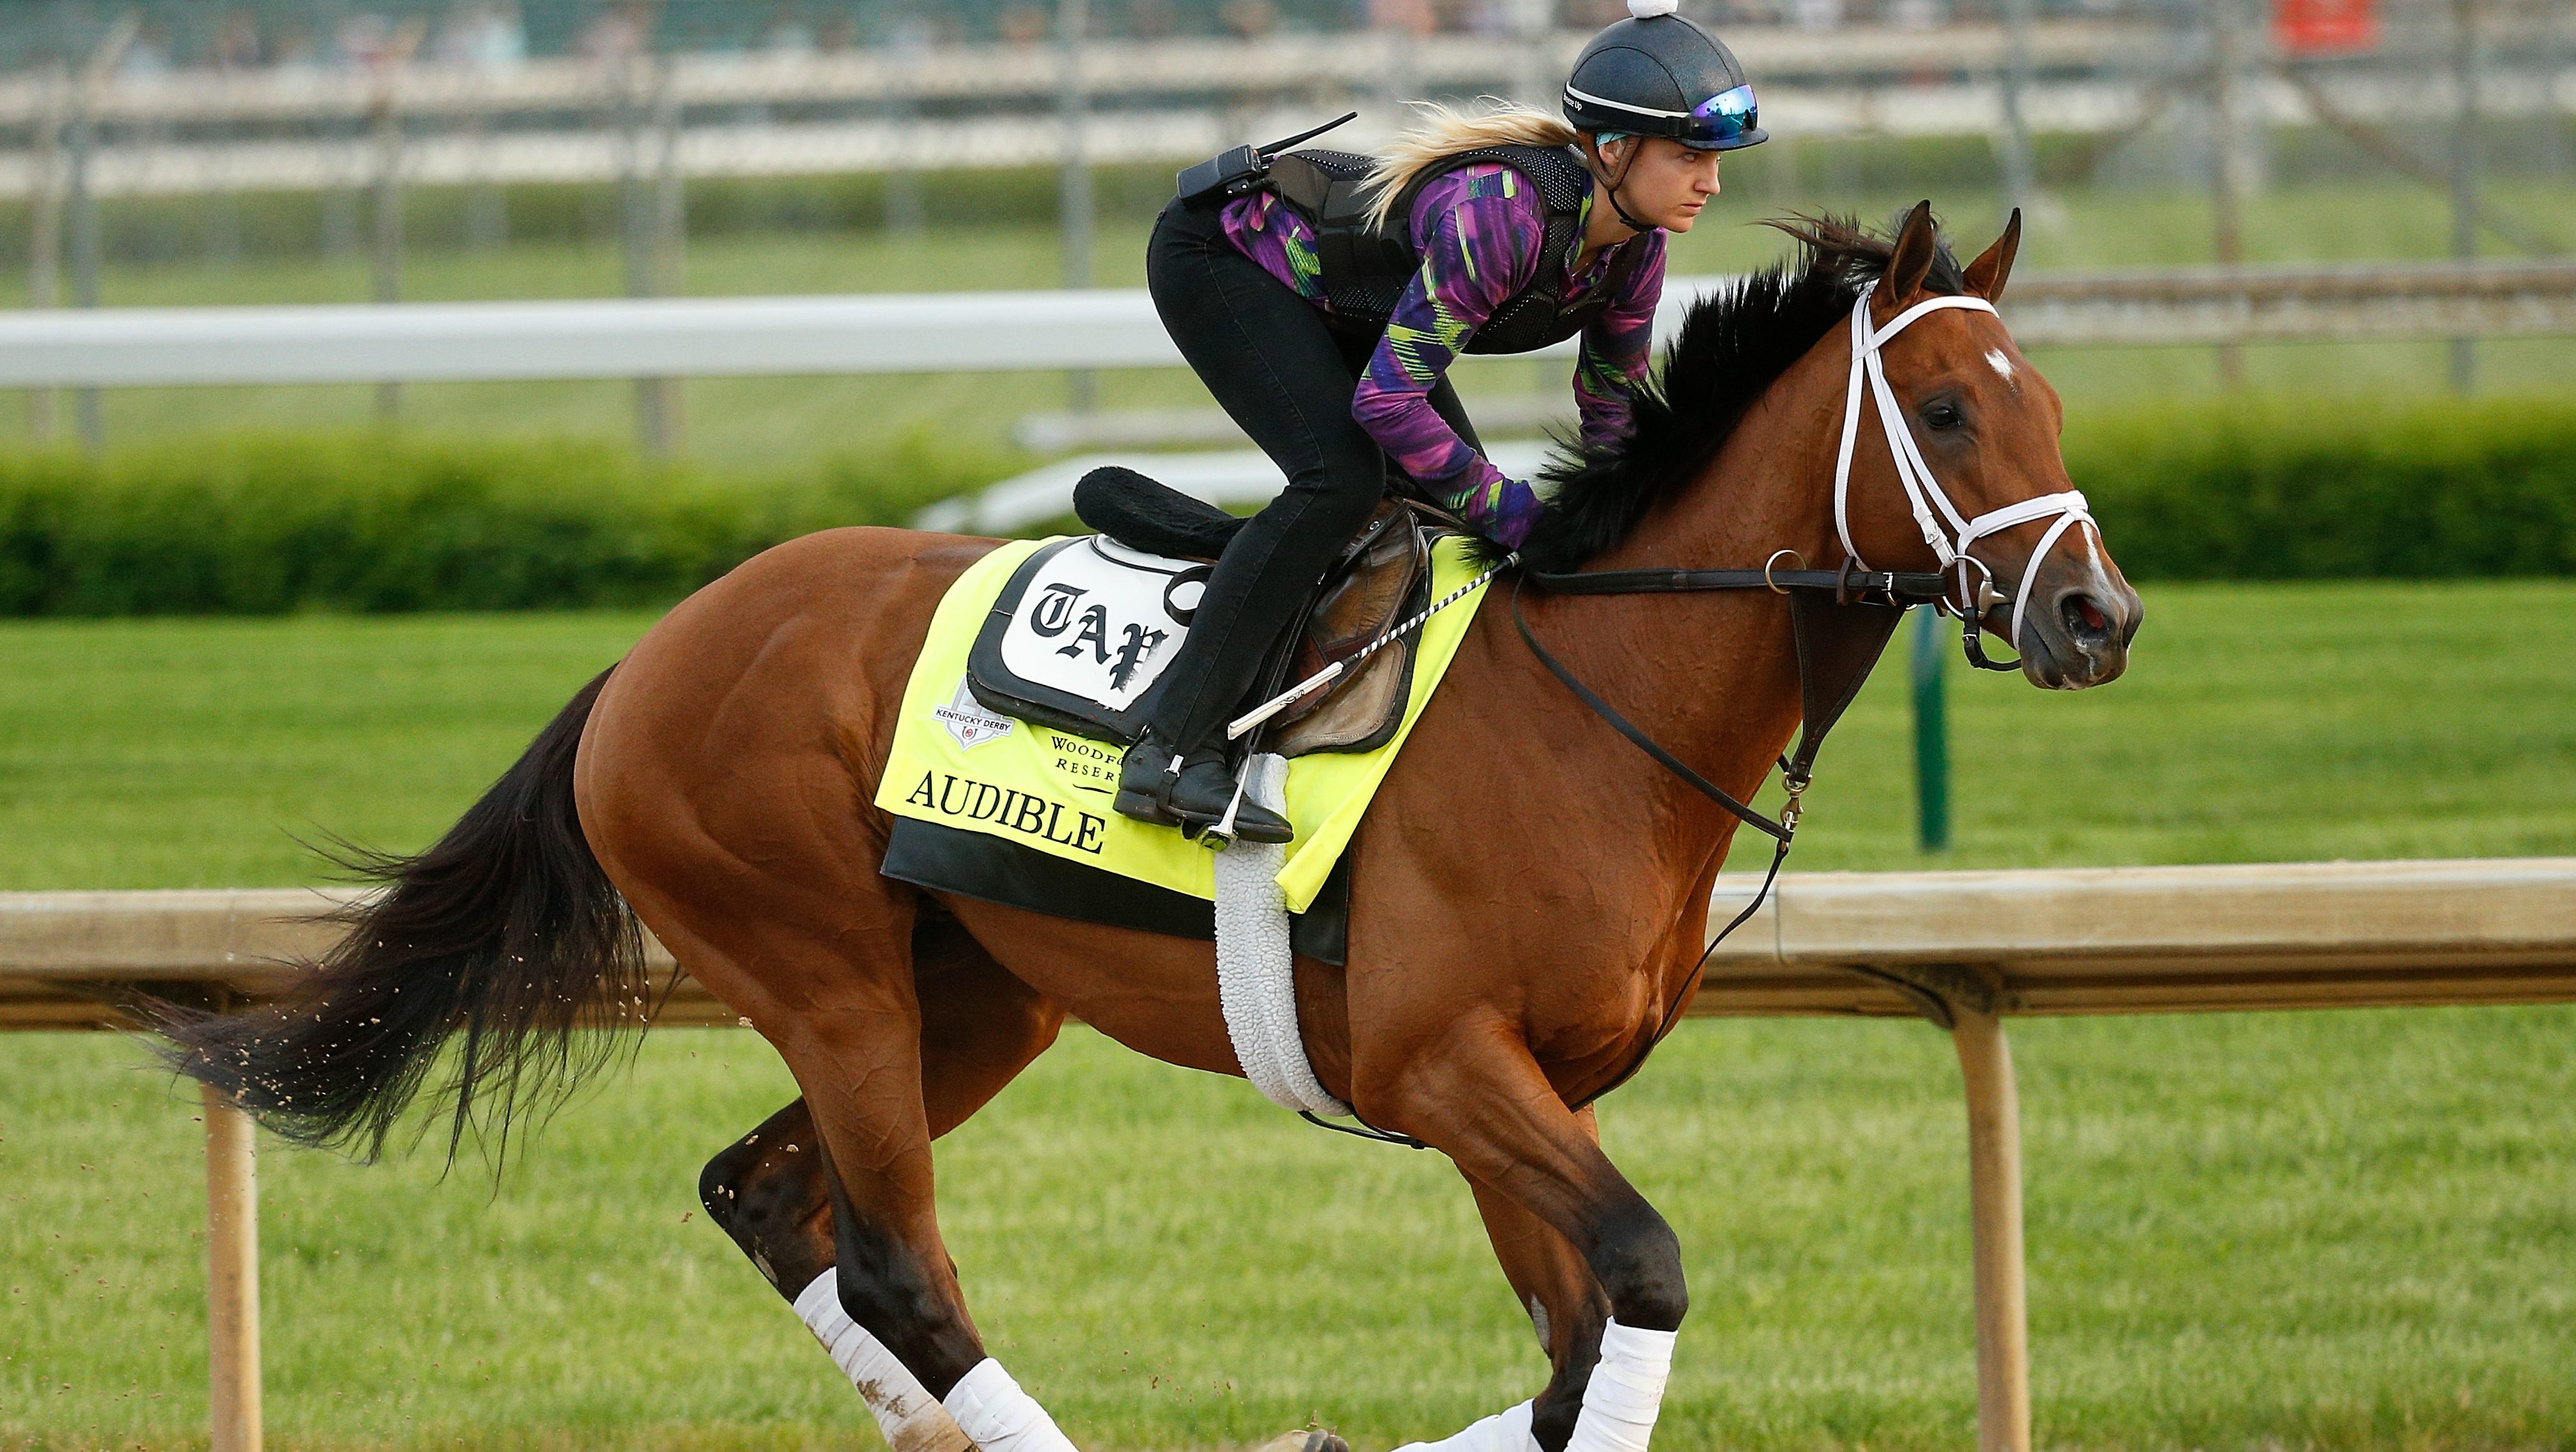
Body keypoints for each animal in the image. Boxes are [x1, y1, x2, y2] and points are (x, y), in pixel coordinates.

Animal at [156, 204, 2132, 1452]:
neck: (1598, 695)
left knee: (772, 1199)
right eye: (1945, 406)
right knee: (895, 1262)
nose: (2097, 613)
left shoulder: (1523, 1088)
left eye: (2050, 396)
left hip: (972, 991)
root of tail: (650, 652)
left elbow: (1581, 1353)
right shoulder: (1441, 1057)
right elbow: (1636, 1279)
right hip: (826, 971)